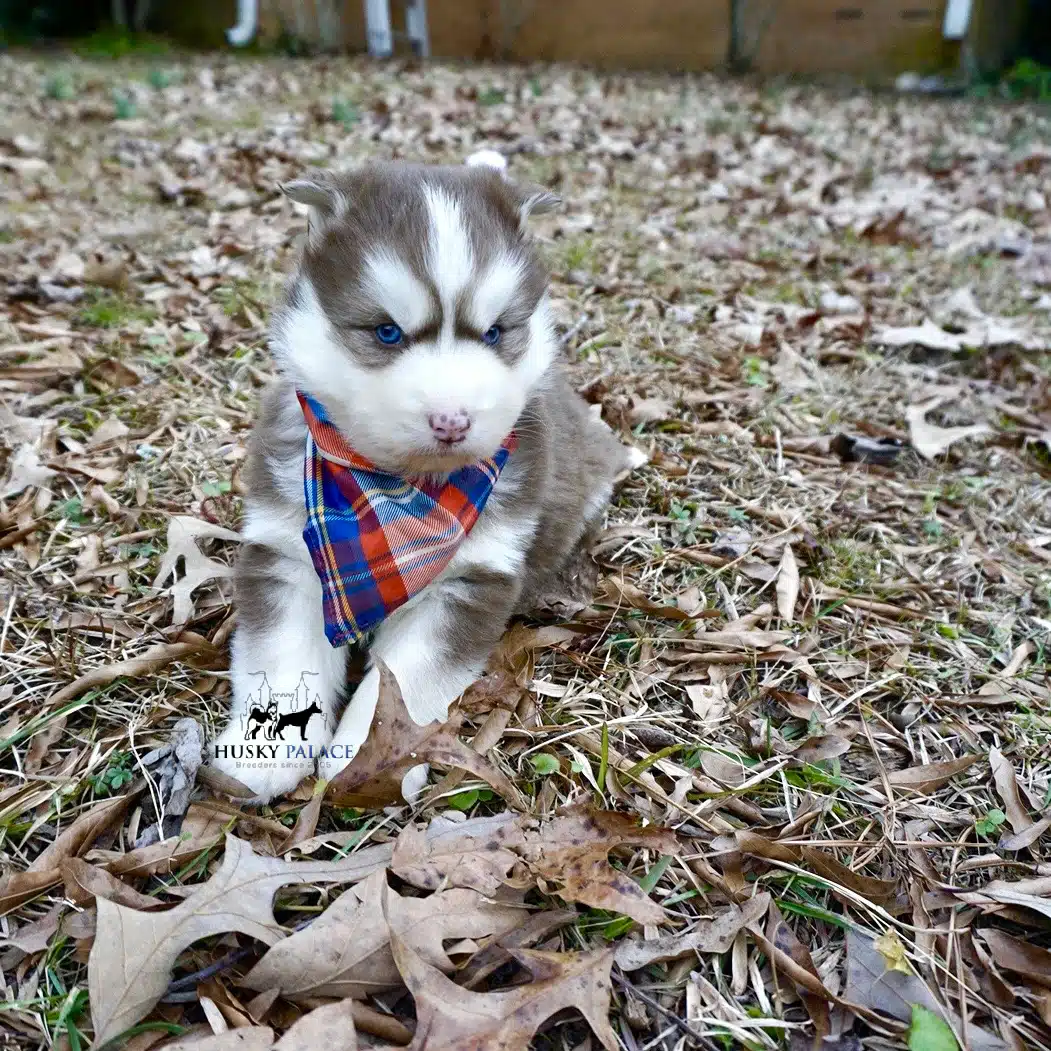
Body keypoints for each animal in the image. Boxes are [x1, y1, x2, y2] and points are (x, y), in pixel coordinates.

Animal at [211, 157, 639, 794]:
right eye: (386, 332)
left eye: (495, 332)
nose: (452, 421)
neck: (393, 493)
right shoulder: (285, 553)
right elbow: (281, 659)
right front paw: (260, 755)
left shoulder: (470, 579)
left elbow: (406, 682)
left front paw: (369, 758)